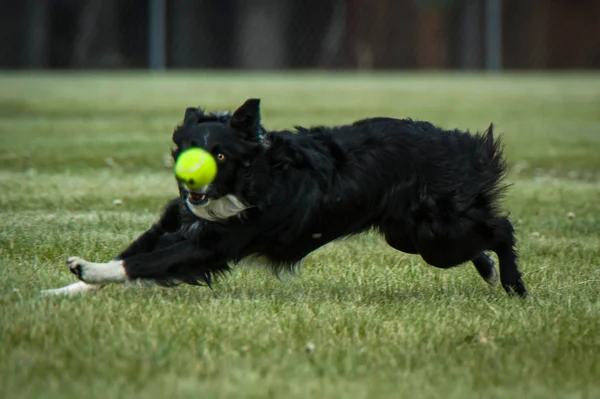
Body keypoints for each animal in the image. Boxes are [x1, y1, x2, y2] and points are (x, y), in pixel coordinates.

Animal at [47, 97, 524, 296]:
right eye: (186, 151)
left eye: (221, 155)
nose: (192, 185)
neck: (248, 179)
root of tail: (461, 141)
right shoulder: (179, 223)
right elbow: (137, 254)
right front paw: (65, 290)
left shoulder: (214, 244)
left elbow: (143, 263)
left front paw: (87, 270)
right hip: (409, 235)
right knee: (479, 240)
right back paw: (489, 270)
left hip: (433, 234)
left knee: (501, 228)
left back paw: (513, 284)